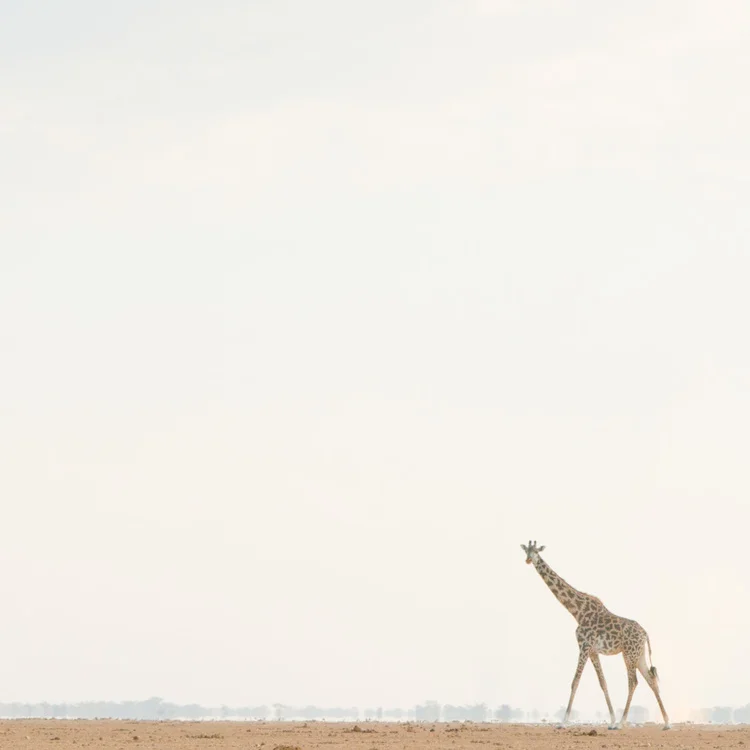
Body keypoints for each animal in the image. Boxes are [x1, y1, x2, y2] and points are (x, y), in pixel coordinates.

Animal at [520, 541, 670, 730]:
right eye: (526, 551)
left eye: (536, 551)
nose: (528, 560)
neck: (576, 611)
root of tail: (645, 633)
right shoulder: (592, 651)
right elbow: (603, 683)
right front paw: (611, 720)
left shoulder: (584, 646)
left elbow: (575, 682)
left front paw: (563, 722)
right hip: (639, 654)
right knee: (651, 680)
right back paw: (666, 723)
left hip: (629, 653)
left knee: (633, 682)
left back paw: (622, 723)